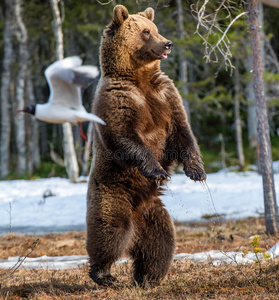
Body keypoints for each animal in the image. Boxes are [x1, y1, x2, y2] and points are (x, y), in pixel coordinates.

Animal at [87, 4, 208, 286]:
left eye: (155, 28)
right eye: (145, 32)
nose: (168, 43)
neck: (139, 77)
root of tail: (136, 222)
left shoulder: (165, 96)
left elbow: (183, 133)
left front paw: (197, 171)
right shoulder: (118, 99)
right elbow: (125, 137)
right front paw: (158, 170)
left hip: (153, 211)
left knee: (160, 243)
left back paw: (148, 278)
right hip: (113, 191)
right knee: (109, 232)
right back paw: (103, 274)